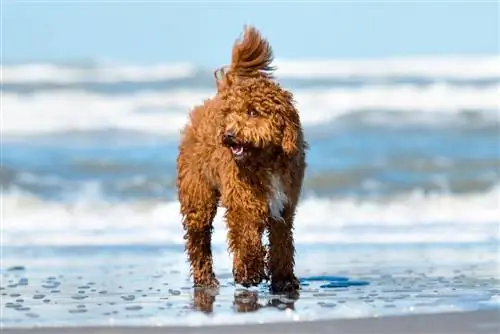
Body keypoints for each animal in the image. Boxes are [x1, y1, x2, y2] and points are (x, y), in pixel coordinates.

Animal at [176, 25, 308, 292]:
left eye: (253, 112)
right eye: (231, 114)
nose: (228, 135)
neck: (267, 160)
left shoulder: (285, 207)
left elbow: (282, 244)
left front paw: (284, 280)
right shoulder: (243, 201)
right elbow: (246, 236)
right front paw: (250, 272)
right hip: (198, 196)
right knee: (198, 239)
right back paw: (205, 279)